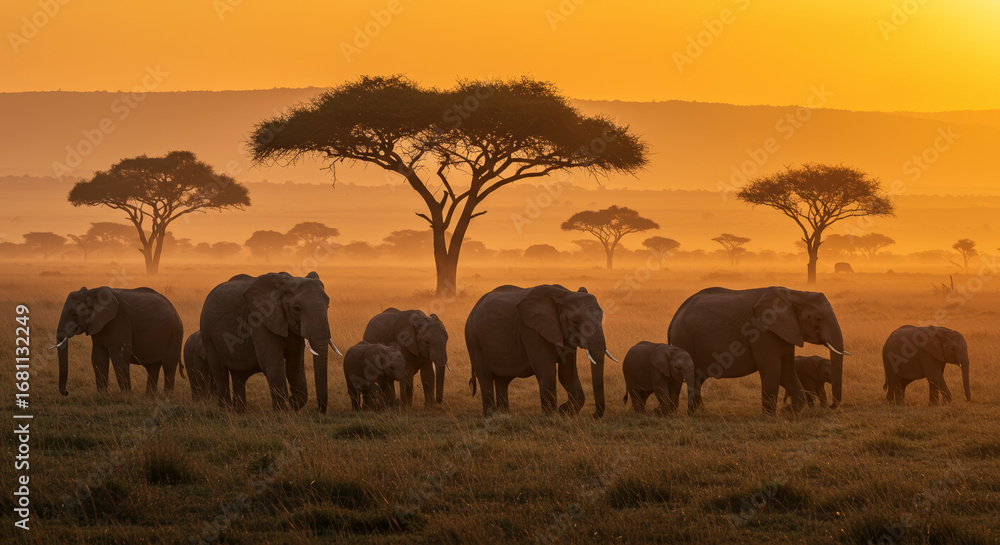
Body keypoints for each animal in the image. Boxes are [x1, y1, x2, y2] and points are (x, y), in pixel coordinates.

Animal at [51, 286, 184, 396]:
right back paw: (149, 396)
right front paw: (102, 395)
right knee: (153, 367)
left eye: (74, 314)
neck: (92, 293)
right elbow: (98, 357)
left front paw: (127, 396)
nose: (66, 392)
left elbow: (119, 355)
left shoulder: (120, 321)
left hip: (175, 332)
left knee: (169, 366)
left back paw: (167, 397)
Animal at [199, 272, 342, 413]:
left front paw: (292, 404)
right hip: (207, 333)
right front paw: (282, 412)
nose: (318, 409)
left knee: (238, 376)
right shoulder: (260, 319)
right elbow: (273, 363)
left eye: (328, 306)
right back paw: (227, 411)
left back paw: (240, 412)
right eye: (297, 308)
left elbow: (295, 365)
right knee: (220, 372)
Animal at [465, 284, 614, 418]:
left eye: (601, 318)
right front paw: (551, 416)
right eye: (575, 322)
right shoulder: (532, 331)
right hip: (473, 338)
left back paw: (503, 415)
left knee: (502, 379)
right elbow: (547, 372)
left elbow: (567, 374)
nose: (593, 415)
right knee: (485, 376)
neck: (565, 295)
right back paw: (490, 415)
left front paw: (563, 411)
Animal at [667, 286, 849, 415]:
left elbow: (787, 372)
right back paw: (692, 413)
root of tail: (674, 317)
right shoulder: (763, 331)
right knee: (692, 376)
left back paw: (700, 412)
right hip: (684, 339)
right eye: (817, 318)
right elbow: (773, 370)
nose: (831, 406)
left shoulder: (787, 331)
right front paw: (770, 417)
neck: (794, 294)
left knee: (698, 377)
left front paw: (791, 411)